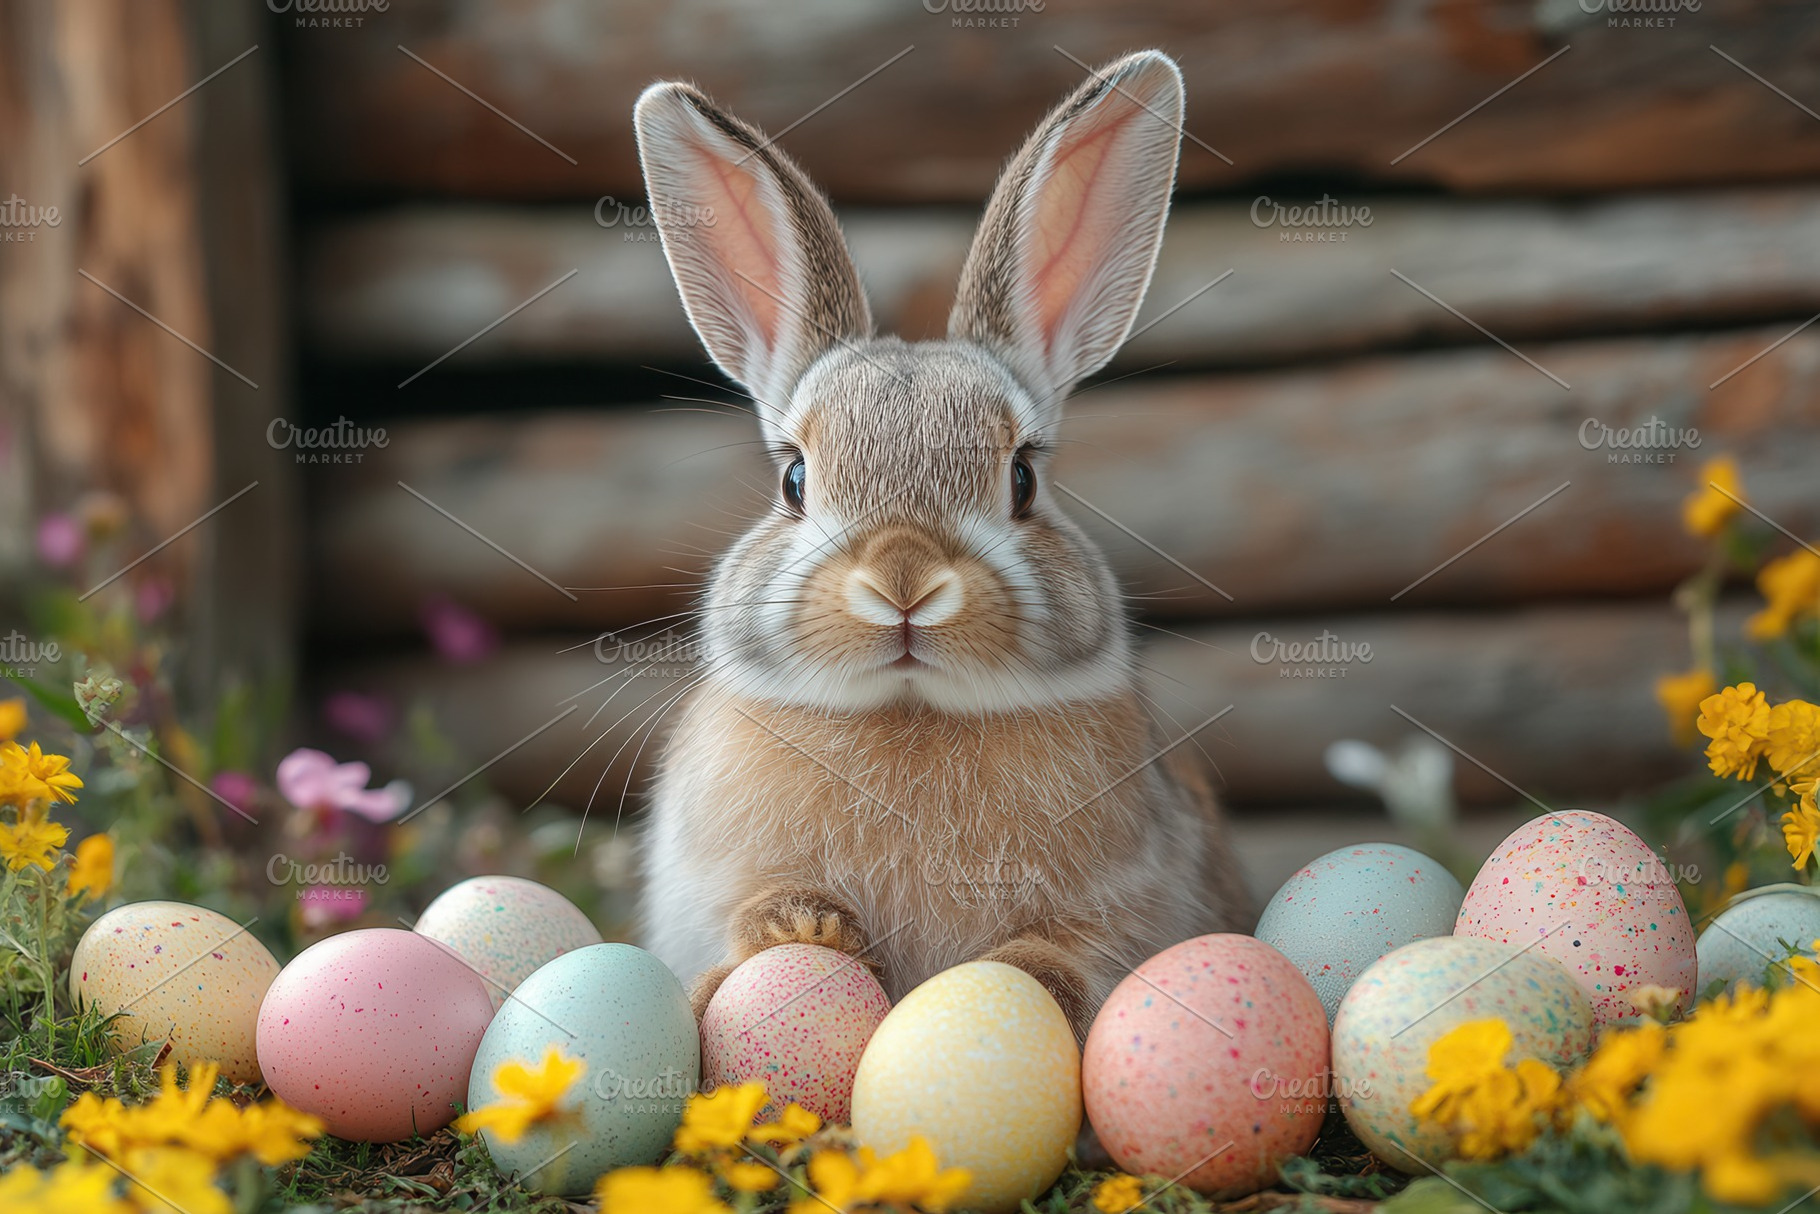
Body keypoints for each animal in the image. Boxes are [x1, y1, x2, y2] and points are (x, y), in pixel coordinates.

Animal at [631, 49, 1249, 1040]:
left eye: (1023, 479)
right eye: (794, 481)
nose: (903, 579)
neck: (911, 712)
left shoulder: (1123, 909)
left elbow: (1071, 958)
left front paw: (1020, 979)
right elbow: (748, 929)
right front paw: (804, 927)